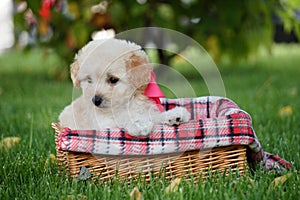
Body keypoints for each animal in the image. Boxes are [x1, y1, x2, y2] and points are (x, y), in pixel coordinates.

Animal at [58, 38, 190, 137]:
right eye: (89, 80)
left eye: (112, 79)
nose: (95, 100)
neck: (125, 104)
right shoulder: (104, 123)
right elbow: (122, 119)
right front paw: (138, 124)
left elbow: (154, 116)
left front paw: (174, 114)